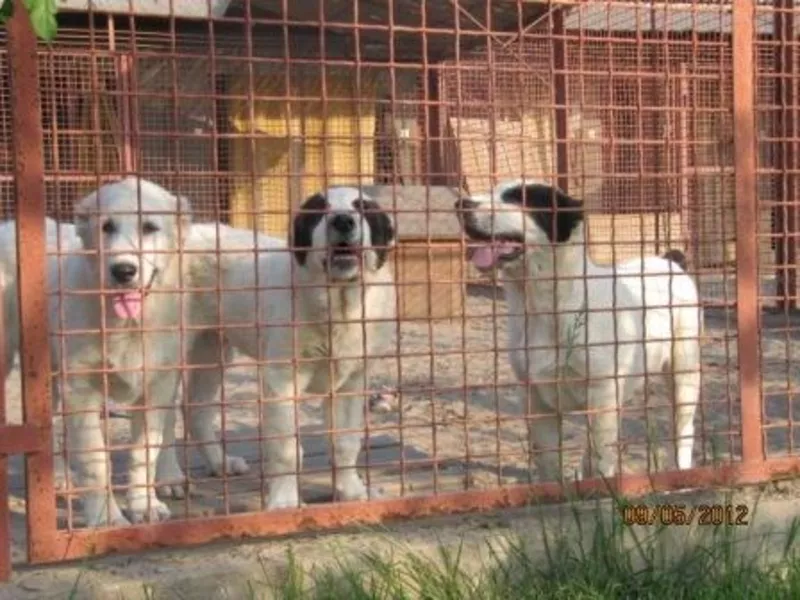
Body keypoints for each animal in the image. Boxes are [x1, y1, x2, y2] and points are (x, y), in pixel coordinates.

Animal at [185, 188, 396, 510]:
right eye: (320, 209)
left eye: (362, 208)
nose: (343, 221)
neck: (338, 306)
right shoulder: (282, 380)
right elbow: (286, 449)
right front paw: (284, 502)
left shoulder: (351, 382)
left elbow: (345, 442)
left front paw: (352, 491)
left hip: (212, 351)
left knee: (195, 410)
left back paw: (220, 463)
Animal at [456, 180, 700, 480]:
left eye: (518, 198)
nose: (461, 204)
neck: (548, 308)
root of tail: (669, 261)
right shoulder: (537, 401)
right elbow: (550, 462)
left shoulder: (602, 395)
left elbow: (598, 458)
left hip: (684, 375)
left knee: (683, 432)